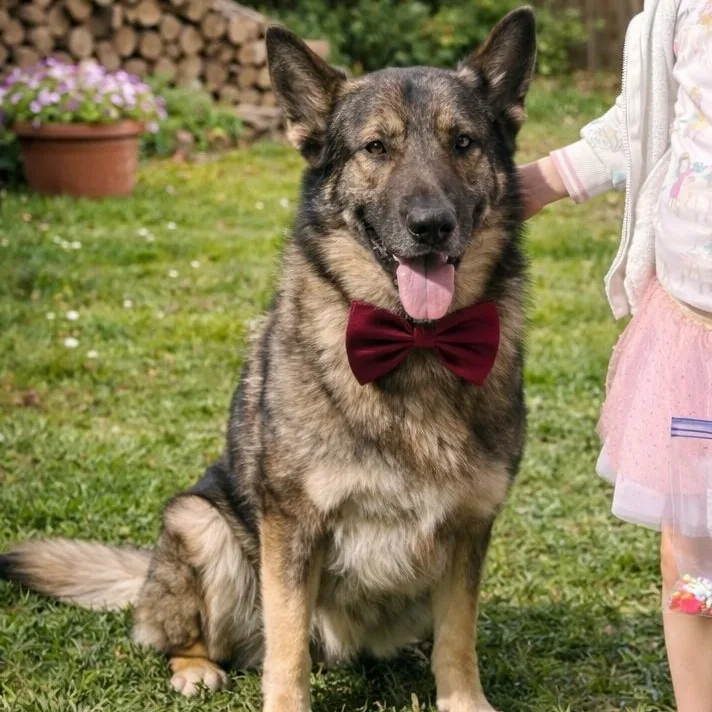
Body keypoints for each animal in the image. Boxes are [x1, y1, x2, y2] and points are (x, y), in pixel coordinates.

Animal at [0, 8, 536, 712]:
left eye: (464, 143)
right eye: (376, 148)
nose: (431, 225)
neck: (414, 340)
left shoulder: (468, 530)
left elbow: (458, 640)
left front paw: (463, 700)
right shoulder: (291, 529)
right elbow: (286, 650)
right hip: (200, 522)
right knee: (187, 632)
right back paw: (194, 666)